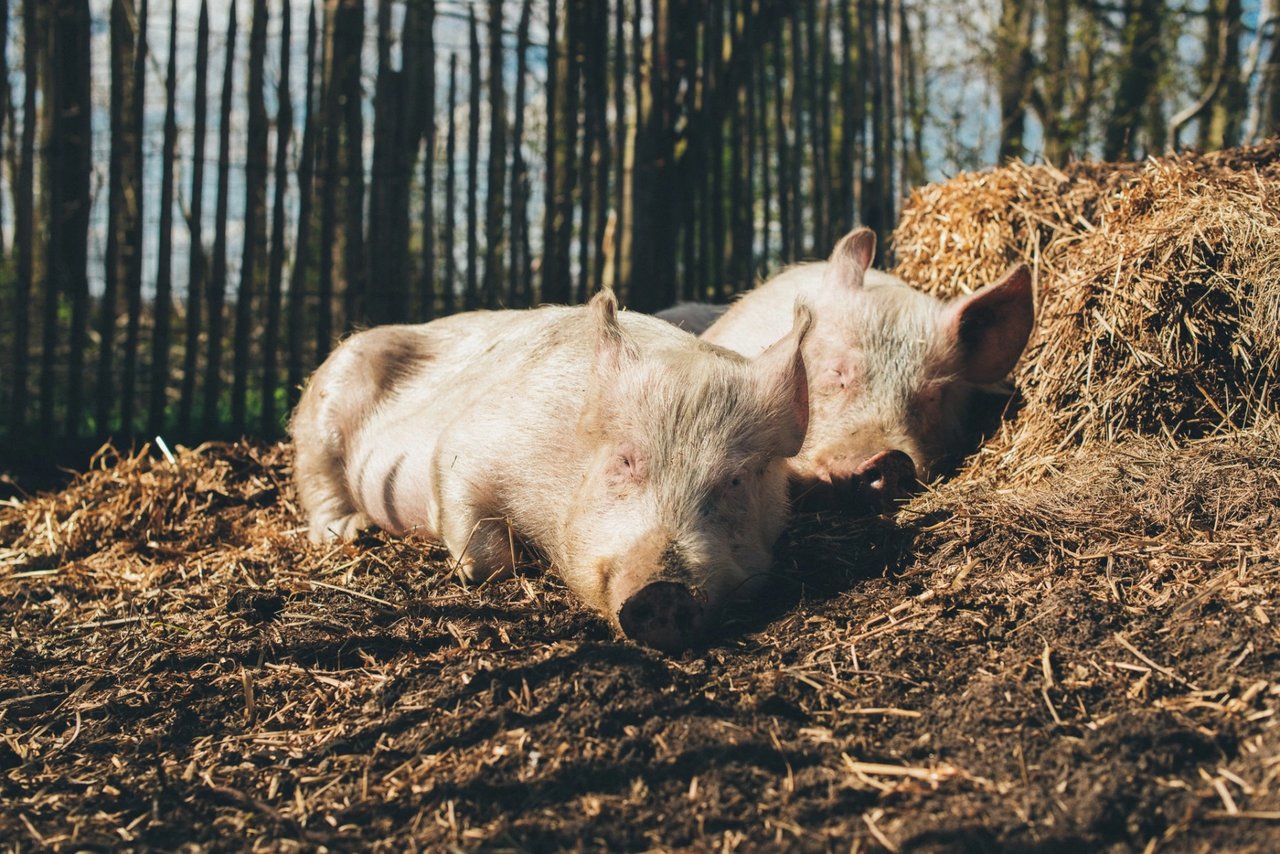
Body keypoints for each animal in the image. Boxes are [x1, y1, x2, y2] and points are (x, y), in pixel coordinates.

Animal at [290, 289, 808, 655]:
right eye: (624, 461)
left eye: (736, 480)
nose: (665, 592)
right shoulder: (464, 444)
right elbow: (483, 552)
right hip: (328, 394)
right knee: (318, 480)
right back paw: (351, 531)